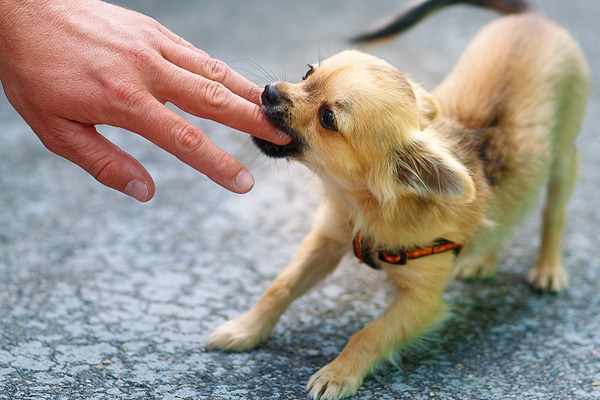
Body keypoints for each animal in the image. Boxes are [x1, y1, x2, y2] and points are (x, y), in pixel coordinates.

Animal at [207, 1, 592, 398]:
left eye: (327, 118)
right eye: (307, 73)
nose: (268, 92)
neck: (362, 206)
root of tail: (533, 18)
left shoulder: (423, 302)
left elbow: (370, 334)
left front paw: (339, 372)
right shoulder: (327, 239)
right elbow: (279, 287)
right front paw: (245, 329)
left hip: (564, 161)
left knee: (554, 214)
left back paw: (547, 268)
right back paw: (482, 259)